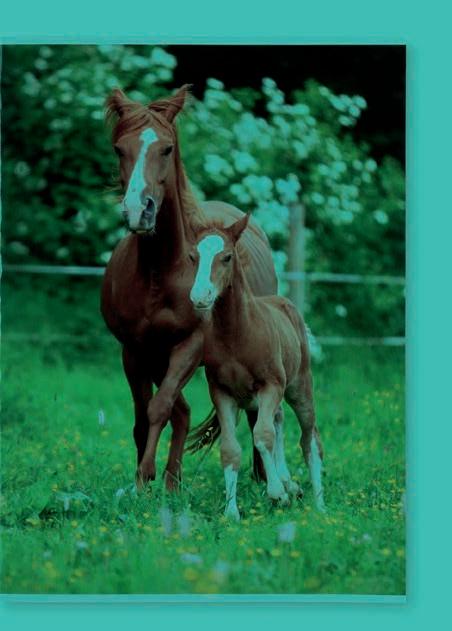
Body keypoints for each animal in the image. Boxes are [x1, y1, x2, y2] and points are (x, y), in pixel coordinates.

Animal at [100, 85, 277, 489]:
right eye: (119, 149)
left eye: (167, 148)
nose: (140, 211)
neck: (160, 272)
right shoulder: (134, 350)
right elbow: (144, 416)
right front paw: (144, 481)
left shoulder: (190, 345)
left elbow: (159, 407)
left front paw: (145, 476)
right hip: (155, 357)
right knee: (181, 411)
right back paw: (172, 480)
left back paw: (261, 479)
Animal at [186, 215, 325, 519]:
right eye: (192, 256)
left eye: (226, 256)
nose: (200, 295)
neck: (236, 334)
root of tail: (286, 303)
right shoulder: (222, 392)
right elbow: (231, 448)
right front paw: (231, 512)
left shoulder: (271, 385)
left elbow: (262, 435)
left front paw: (277, 494)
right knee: (279, 420)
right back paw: (290, 482)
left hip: (299, 387)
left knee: (309, 438)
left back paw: (319, 503)